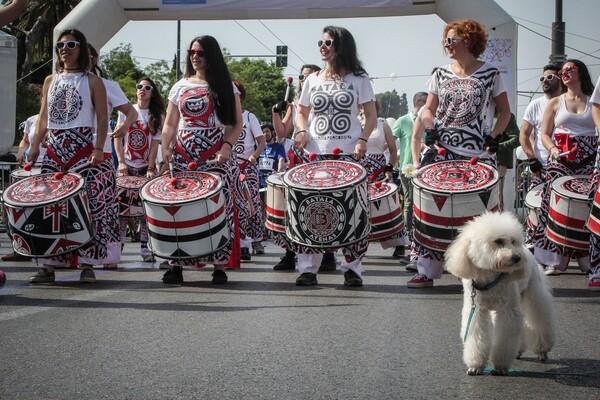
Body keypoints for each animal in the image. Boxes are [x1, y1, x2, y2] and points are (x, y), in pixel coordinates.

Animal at [442, 212, 556, 376]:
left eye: (513, 241)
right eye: (498, 241)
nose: (517, 258)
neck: (491, 278)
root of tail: (527, 250)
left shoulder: (507, 311)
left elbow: (505, 338)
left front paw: (500, 367)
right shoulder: (477, 310)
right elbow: (477, 336)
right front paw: (475, 365)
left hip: (534, 294)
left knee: (540, 321)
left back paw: (542, 352)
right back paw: (518, 351)